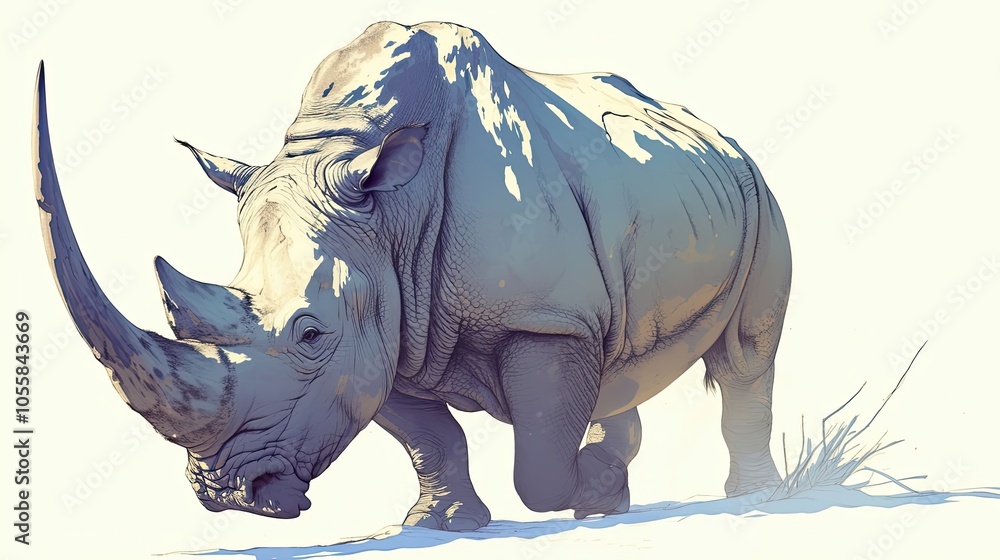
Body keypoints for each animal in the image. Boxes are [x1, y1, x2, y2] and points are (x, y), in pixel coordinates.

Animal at [33, 21, 791, 530]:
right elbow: (428, 437)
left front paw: (585, 489)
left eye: (310, 334)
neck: (384, 202)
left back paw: (751, 498)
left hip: (758, 192)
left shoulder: (544, 319)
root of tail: (716, 132)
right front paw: (440, 523)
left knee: (745, 357)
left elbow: (538, 464)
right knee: (620, 353)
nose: (225, 495)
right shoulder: (382, 321)